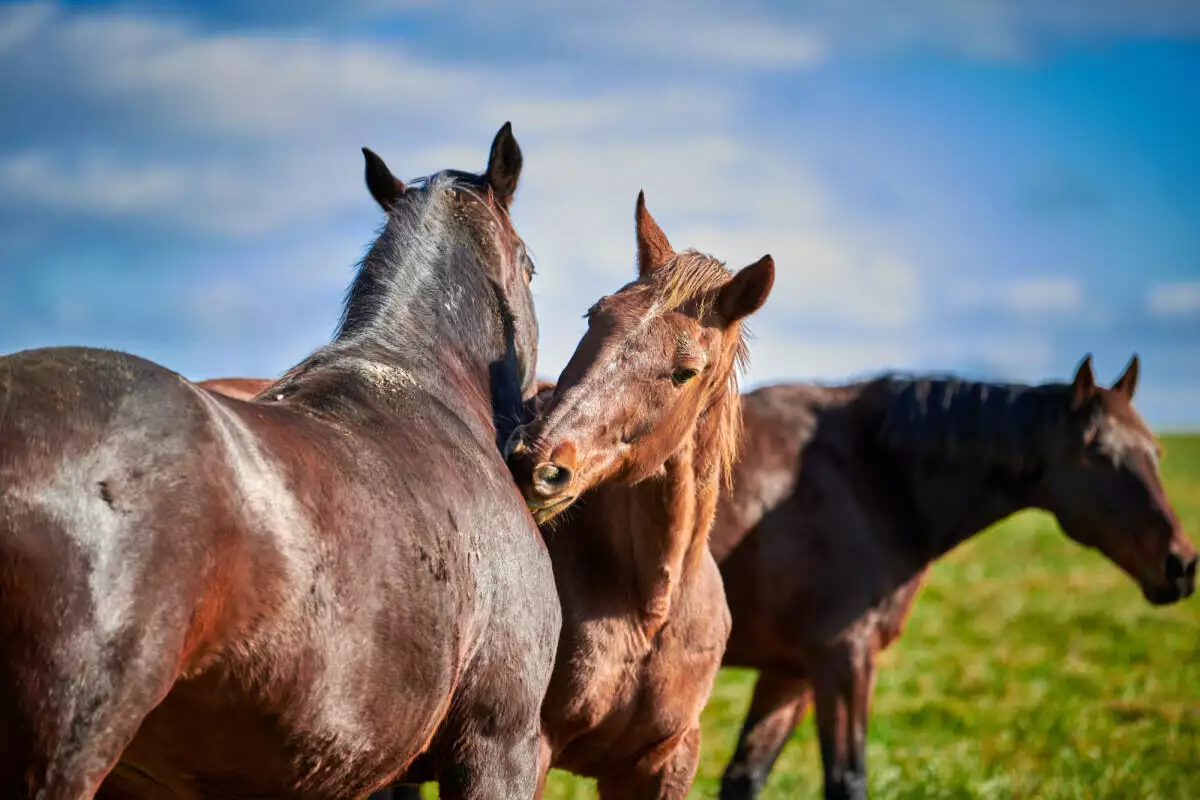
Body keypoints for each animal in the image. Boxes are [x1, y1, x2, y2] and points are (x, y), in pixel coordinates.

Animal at [501, 190, 772, 796]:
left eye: (684, 371)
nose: (535, 463)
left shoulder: (666, 760)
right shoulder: (529, 751)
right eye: (593, 316)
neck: (649, 608)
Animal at [715, 357, 1195, 800]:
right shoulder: (844, 659)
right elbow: (847, 781)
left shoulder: (791, 671)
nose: (1181, 565)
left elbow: (744, 777)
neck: (869, 478)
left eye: (1155, 452)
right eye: (1097, 454)